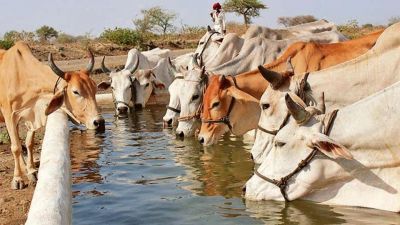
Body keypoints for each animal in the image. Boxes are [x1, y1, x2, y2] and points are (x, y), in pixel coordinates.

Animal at [0, 41, 104, 189]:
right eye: (75, 91)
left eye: (95, 89)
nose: (99, 122)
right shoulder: (9, 115)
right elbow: (15, 147)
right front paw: (17, 179)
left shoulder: (32, 116)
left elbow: (29, 143)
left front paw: (31, 171)